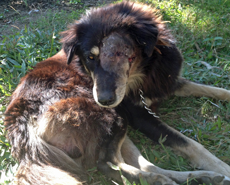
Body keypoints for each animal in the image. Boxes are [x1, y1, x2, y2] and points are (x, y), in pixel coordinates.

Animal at [3, 1, 230, 185]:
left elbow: (213, 89)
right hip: (112, 117)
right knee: (108, 163)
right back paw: (172, 179)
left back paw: (199, 178)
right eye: (90, 58)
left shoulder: (168, 83)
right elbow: (190, 144)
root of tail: (21, 127)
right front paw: (223, 166)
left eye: (120, 53)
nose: (104, 99)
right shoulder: (141, 117)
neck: (145, 72)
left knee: (136, 165)